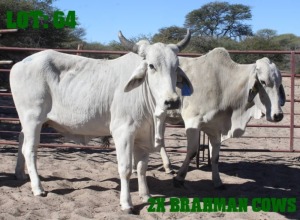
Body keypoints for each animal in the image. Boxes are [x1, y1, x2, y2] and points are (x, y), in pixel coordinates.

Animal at [9, 30, 192, 212]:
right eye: (152, 66)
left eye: (176, 66)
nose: (172, 101)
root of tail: (20, 64)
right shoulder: (123, 132)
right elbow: (126, 168)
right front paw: (126, 203)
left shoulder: (142, 136)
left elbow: (141, 168)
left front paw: (145, 195)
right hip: (33, 119)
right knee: (29, 150)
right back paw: (38, 188)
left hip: (28, 121)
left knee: (21, 138)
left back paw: (20, 174)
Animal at [159, 48, 286, 189]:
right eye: (263, 82)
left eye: (279, 83)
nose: (278, 115)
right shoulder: (192, 121)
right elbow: (192, 151)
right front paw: (179, 178)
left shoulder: (215, 127)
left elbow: (215, 157)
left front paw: (218, 181)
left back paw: (168, 167)